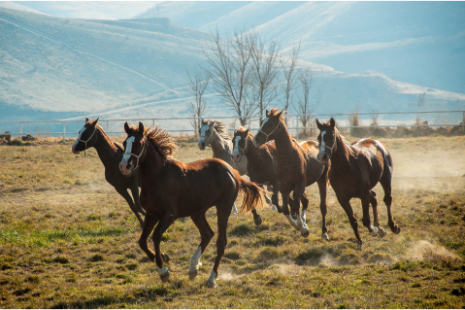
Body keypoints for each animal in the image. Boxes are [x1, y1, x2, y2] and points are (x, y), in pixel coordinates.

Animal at [118, 121, 264, 288]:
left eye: (138, 144)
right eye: (125, 143)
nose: (124, 166)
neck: (159, 177)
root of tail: (233, 172)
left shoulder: (169, 215)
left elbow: (155, 236)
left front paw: (164, 270)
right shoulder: (151, 214)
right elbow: (142, 241)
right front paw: (162, 264)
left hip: (223, 207)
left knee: (221, 241)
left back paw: (211, 278)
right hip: (197, 212)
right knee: (207, 234)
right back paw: (193, 268)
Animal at [252, 108, 328, 239]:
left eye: (270, 123)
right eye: (262, 122)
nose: (256, 139)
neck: (289, 156)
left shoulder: (299, 185)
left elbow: (295, 206)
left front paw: (303, 228)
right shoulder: (284, 188)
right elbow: (286, 209)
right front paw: (300, 226)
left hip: (322, 179)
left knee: (320, 205)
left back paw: (323, 232)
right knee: (305, 202)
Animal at [314, 117, 400, 249]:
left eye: (331, 136)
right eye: (319, 137)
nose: (321, 156)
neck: (346, 166)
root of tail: (376, 142)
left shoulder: (363, 194)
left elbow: (366, 220)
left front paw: (374, 230)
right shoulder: (342, 199)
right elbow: (353, 220)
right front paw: (360, 241)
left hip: (386, 178)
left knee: (387, 199)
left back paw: (392, 226)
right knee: (374, 198)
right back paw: (379, 227)